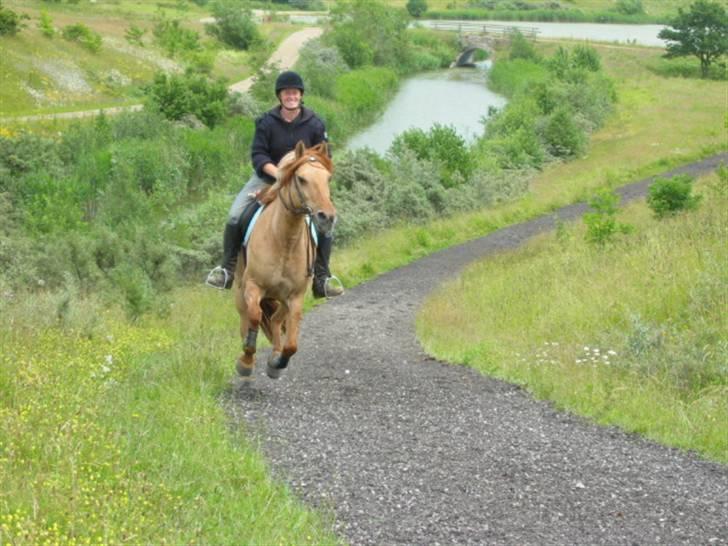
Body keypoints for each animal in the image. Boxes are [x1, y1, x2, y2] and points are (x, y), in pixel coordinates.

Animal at [233, 140, 336, 378]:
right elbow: (254, 317)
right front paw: (247, 358)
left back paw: (274, 357)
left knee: (276, 319)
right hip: (241, 292)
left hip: (281, 298)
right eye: (301, 179)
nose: (326, 217)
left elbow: (291, 344)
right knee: (246, 319)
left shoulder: (296, 296)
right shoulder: (253, 286)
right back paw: (247, 361)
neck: (284, 240)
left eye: (327, 178)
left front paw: (277, 362)